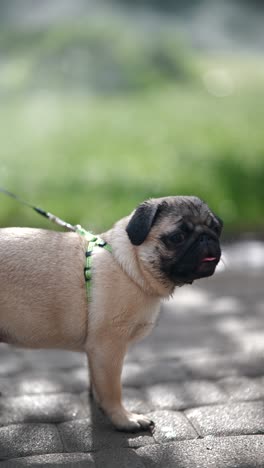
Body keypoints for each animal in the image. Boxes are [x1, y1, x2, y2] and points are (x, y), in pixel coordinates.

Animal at [0, 195, 223, 432]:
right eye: (177, 237)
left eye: (217, 229)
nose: (206, 238)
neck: (131, 267)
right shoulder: (108, 348)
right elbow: (111, 389)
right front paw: (124, 418)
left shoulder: (95, 351)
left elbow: (96, 382)